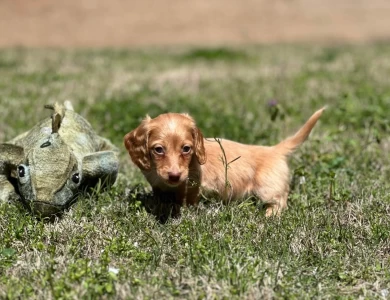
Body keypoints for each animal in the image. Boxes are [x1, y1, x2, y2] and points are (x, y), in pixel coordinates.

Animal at [123, 109, 324, 217]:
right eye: (158, 149)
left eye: (186, 148)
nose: (174, 176)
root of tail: (274, 150)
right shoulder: (157, 184)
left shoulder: (192, 183)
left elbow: (187, 199)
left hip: (267, 188)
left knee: (279, 203)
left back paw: (267, 216)